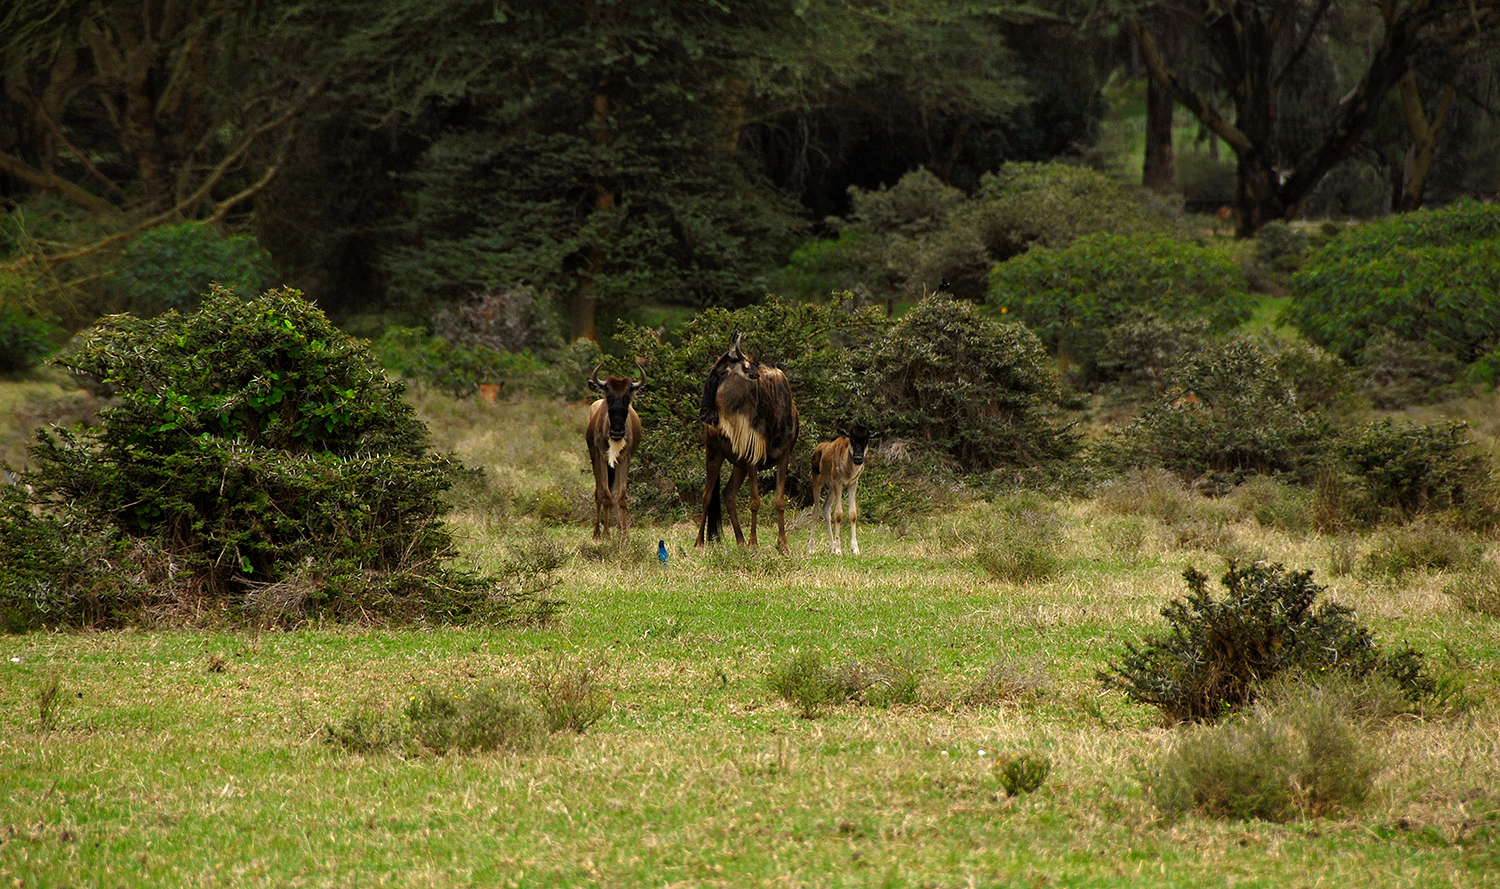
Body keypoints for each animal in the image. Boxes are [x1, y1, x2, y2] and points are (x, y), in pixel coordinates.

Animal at [810, 425, 870, 554]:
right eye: (852, 439)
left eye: (866, 440)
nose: (858, 458)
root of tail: (817, 449)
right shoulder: (839, 483)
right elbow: (838, 514)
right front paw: (838, 549)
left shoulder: (852, 483)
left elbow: (852, 514)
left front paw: (855, 549)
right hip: (817, 480)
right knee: (816, 509)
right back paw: (811, 547)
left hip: (832, 487)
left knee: (826, 508)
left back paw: (831, 547)